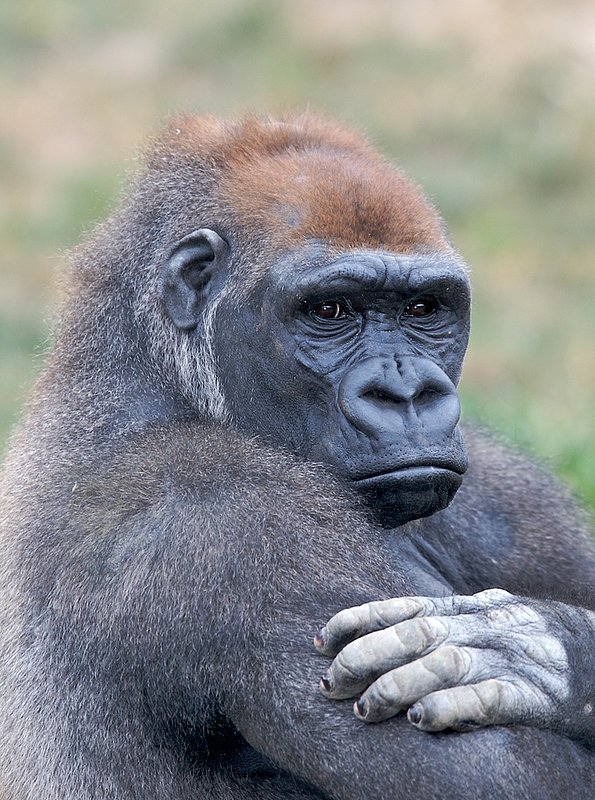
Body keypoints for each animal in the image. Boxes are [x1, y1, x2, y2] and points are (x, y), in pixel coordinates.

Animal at [0, 112, 594, 800]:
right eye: (327, 310)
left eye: (424, 308)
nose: (407, 394)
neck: (156, 382)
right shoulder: (220, 516)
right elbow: (514, 778)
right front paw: (544, 651)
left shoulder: (506, 496)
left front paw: (550, 646)